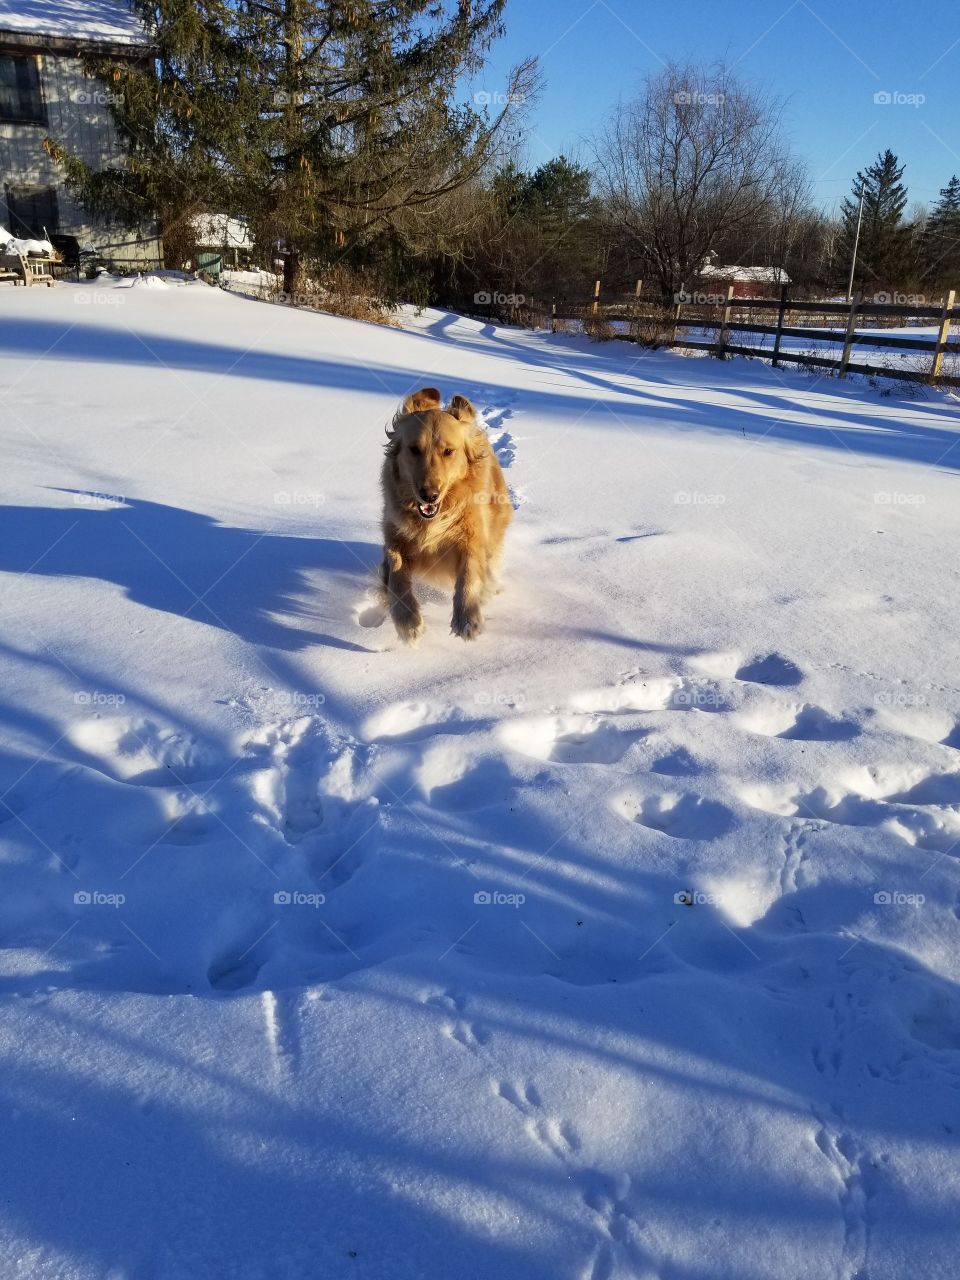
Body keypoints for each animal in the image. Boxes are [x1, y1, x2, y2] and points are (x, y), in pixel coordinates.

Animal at [378, 378, 512, 640]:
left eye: (448, 451)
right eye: (414, 449)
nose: (429, 495)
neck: (432, 520)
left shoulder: (472, 538)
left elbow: (469, 572)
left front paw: (467, 618)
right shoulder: (394, 539)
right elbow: (397, 575)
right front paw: (408, 622)